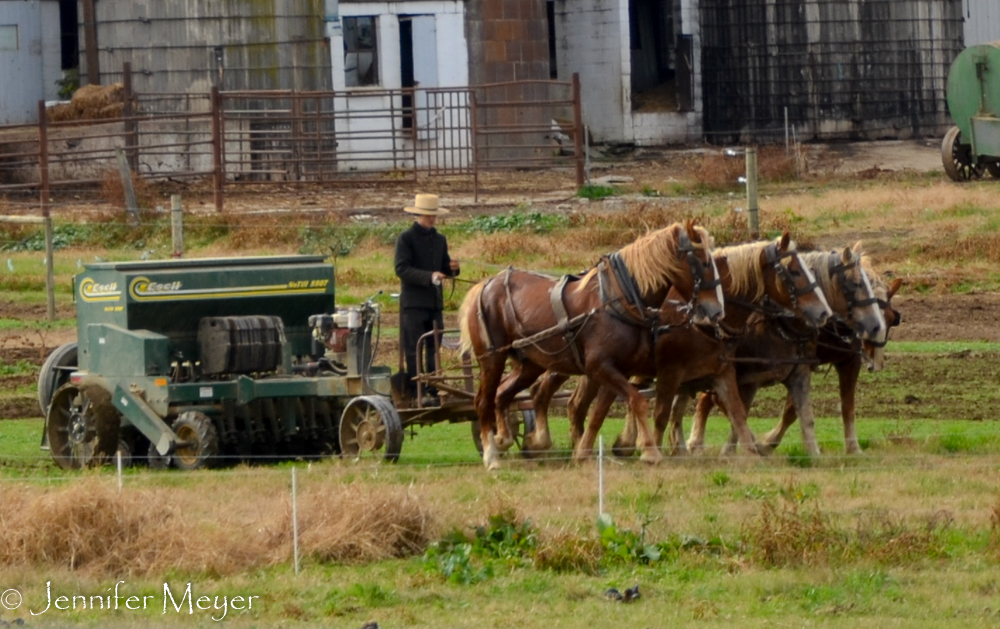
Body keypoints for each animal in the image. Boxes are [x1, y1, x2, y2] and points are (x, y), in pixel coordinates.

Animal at [458, 220, 724, 466]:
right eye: (703, 262)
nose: (717, 311)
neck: (620, 300)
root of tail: (485, 285)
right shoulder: (600, 367)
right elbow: (637, 401)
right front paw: (649, 451)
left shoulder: (618, 371)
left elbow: (598, 414)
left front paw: (583, 454)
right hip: (492, 358)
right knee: (484, 401)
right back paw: (492, 455)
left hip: (530, 364)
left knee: (505, 394)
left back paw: (507, 438)